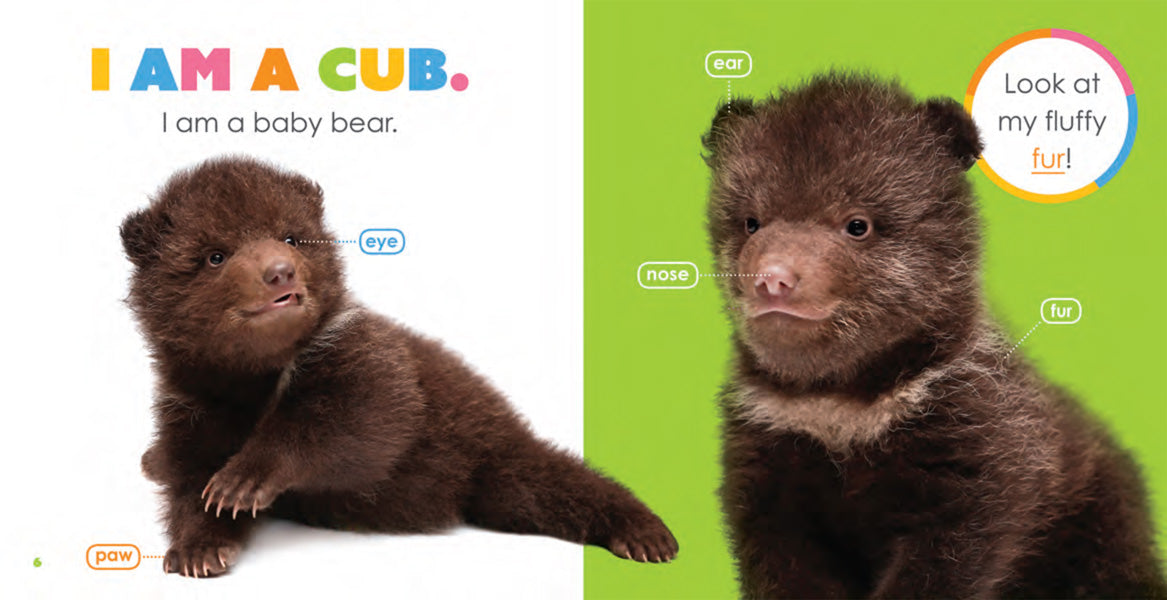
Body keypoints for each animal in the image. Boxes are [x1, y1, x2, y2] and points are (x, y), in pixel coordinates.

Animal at [121, 156, 678, 577]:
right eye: (215, 254)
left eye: (292, 237)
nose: (278, 272)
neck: (254, 377)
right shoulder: (192, 401)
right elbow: (191, 475)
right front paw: (200, 545)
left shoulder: (359, 356)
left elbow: (360, 422)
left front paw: (242, 479)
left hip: (488, 455)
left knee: (554, 482)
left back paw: (643, 532)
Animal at [701, 72, 1166, 598]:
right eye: (751, 221)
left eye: (857, 224)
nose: (773, 278)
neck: (845, 398)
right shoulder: (771, 454)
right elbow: (785, 562)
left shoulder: (972, 454)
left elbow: (944, 558)